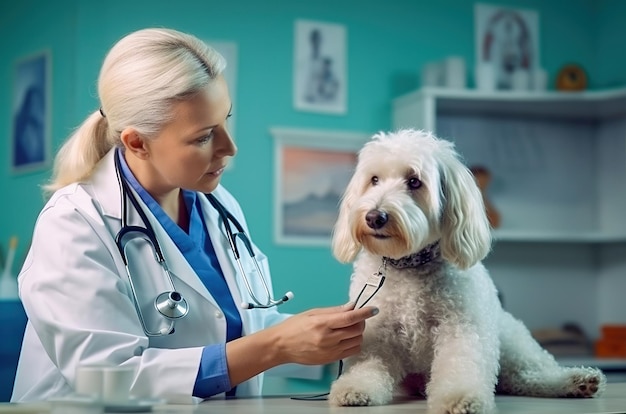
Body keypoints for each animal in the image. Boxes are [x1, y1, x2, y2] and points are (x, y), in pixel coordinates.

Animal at [326, 130, 604, 414]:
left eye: (414, 181)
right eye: (374, 180)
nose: (374, 217)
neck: (408, 265)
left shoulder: (460, 328)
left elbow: (459, 366)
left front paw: (459, 396)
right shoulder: (377, 336)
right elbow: (368, 365)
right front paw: (354, 388)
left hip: (511, 339)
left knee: (530, 372)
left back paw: (576, 380)